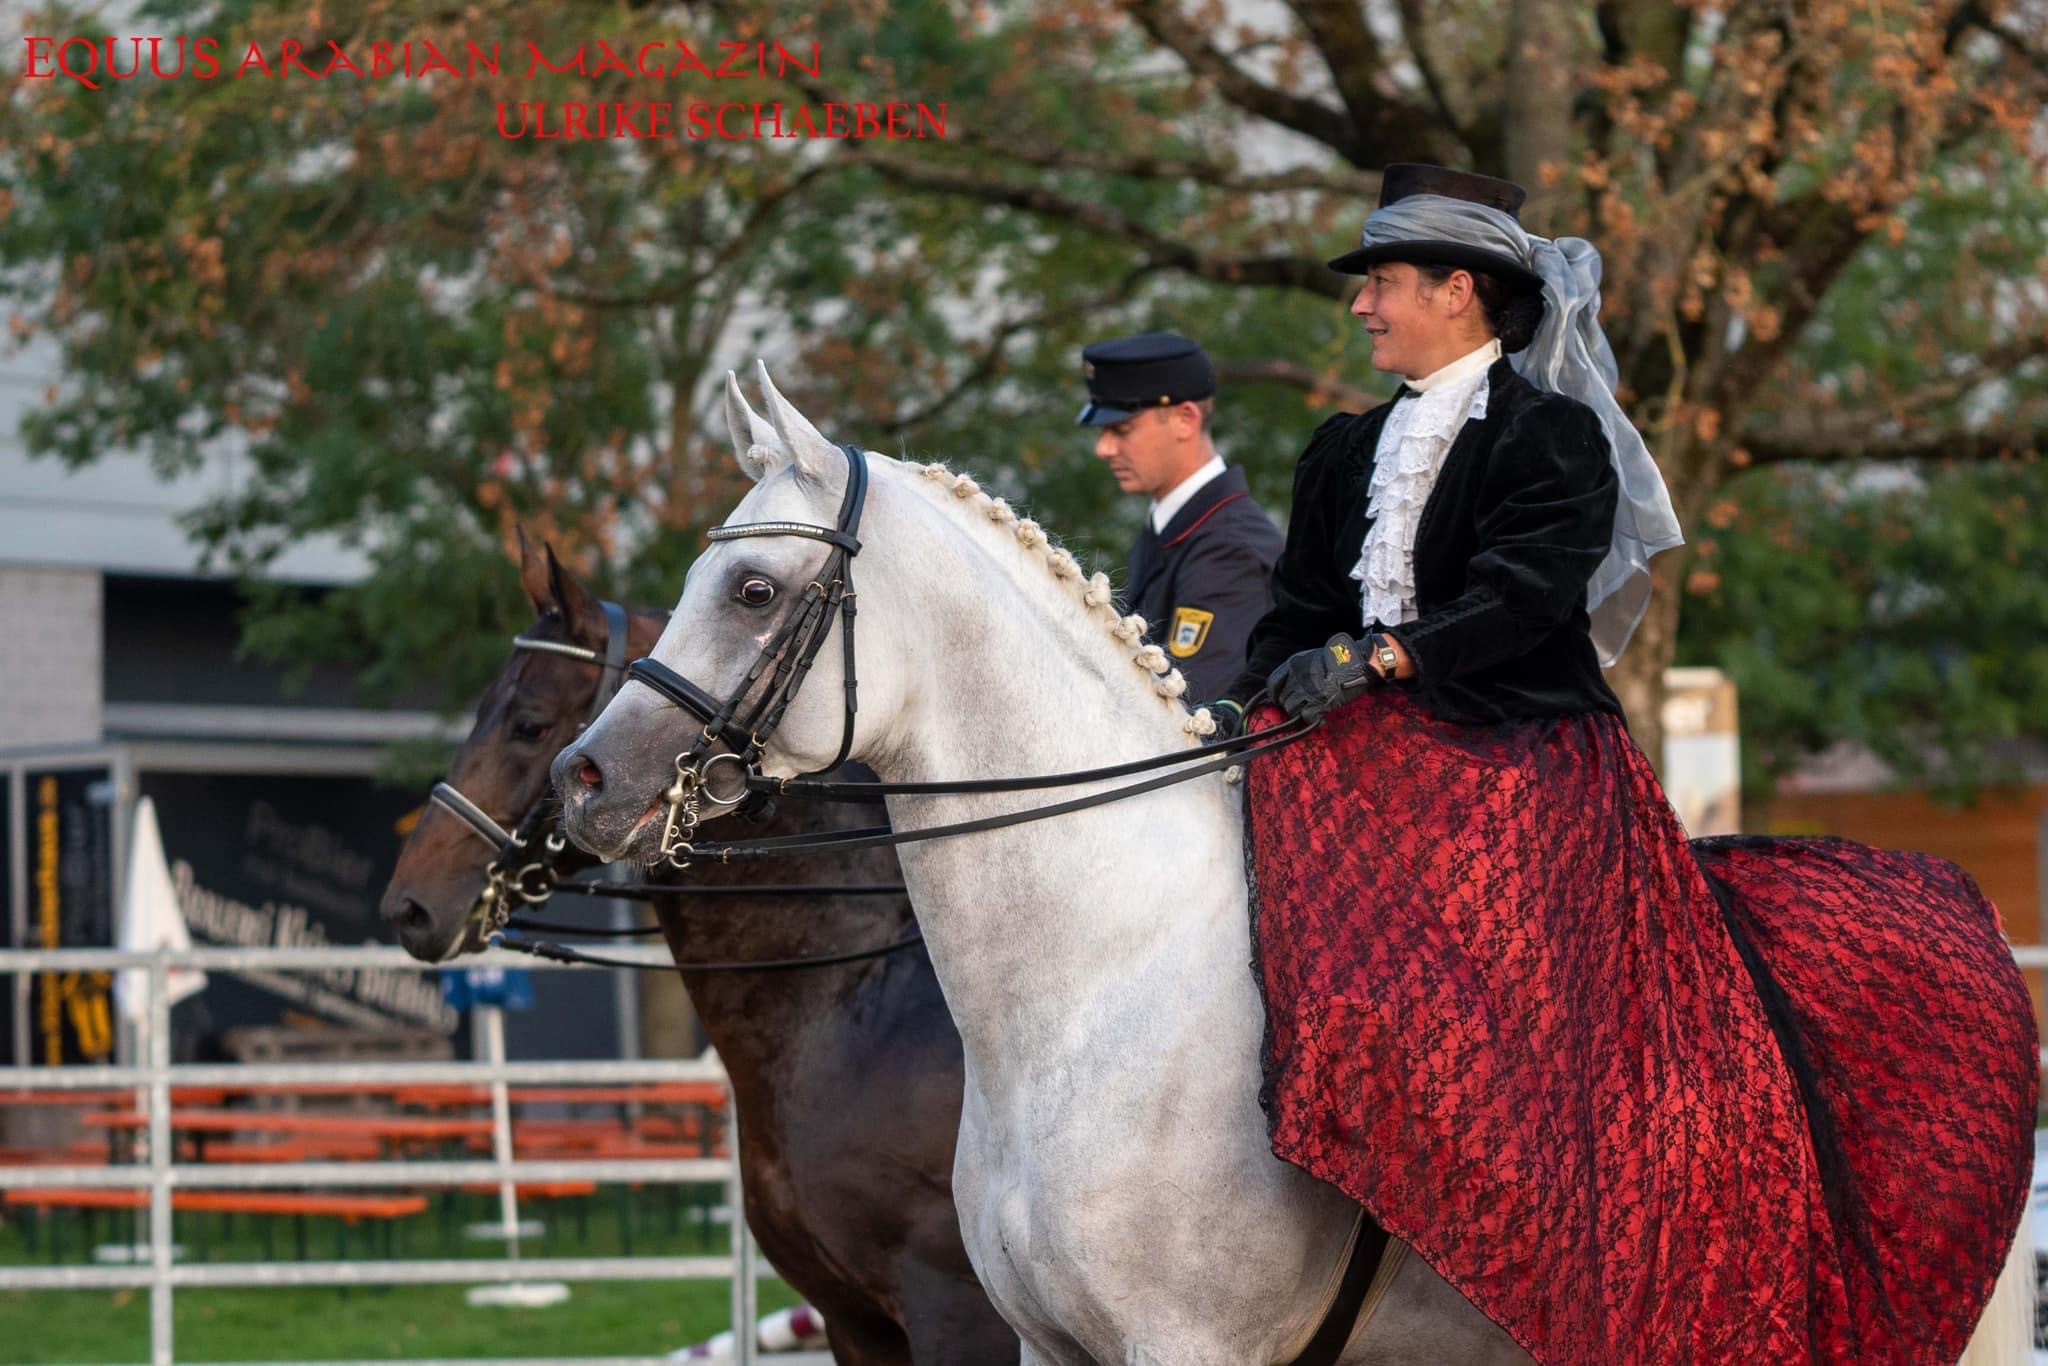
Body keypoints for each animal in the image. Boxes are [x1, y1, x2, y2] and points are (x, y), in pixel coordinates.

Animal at [557, 366, 2031, 1366]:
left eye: (752, 589)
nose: (588, 780)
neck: (1096, 990)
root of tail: (1954, 902)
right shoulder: (1039, 1340)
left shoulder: (1175, 1346)